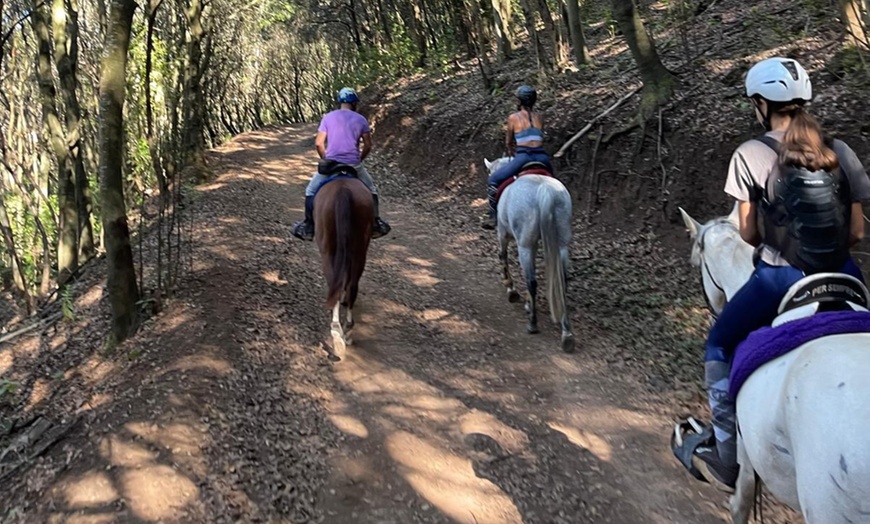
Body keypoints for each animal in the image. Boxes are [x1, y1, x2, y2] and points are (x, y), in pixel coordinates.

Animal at [316, 176, 372, 360]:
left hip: (327, 250)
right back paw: (347, 329)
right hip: (360, 249)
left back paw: (336, 333)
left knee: (334, 283)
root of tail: (343, 190)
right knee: (352, 285)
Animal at [488, 156, 576, 352]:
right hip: (561, 245)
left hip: (525, 246)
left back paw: (533, 323)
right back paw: (566, 333)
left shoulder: (503, 234)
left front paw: (511, 290)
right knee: (562, 281)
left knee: (532, 281)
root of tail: (546, 190)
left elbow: (503, 256)